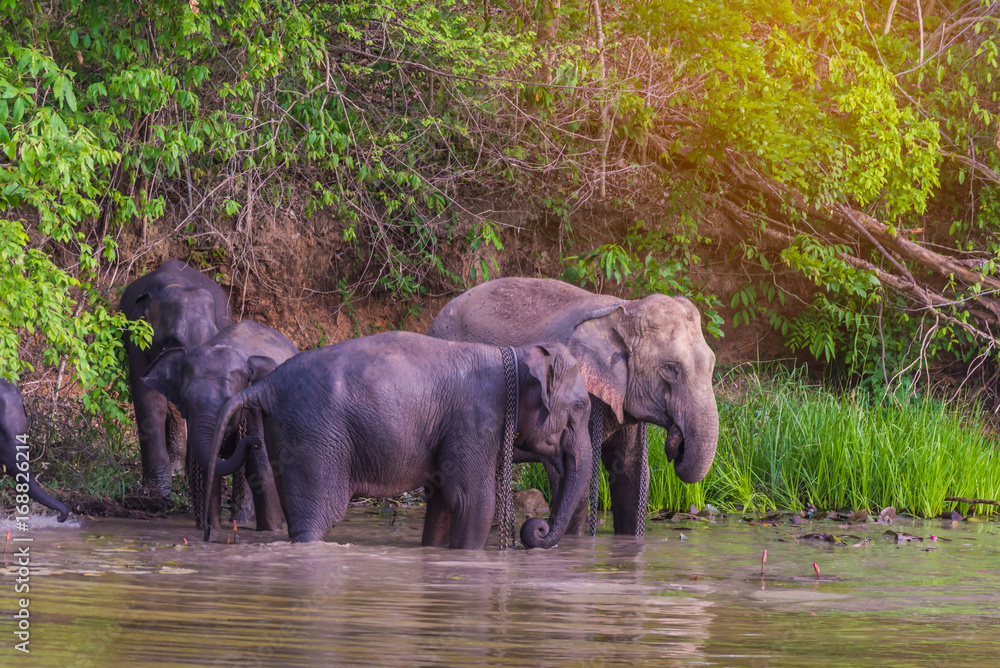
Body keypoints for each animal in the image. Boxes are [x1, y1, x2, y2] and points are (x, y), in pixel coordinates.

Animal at [141, 320, 297, 531]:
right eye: (186, 401)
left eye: (229, 402)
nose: (253, 442)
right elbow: (207, 468)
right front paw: (212, 529)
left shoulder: (257, 410)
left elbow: (262, 468)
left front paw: (271, 532)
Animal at [203, 331, 592, 549]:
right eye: (579, 408)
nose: (538, 528)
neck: (515, 352)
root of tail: (266, 385)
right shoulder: (475, 422)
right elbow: (473, 500)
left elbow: (443, 502)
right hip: (315, 438)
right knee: (319, 515)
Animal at [427, 277, 719, 537]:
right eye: (670, 369)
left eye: (712, 363)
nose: (676, 441)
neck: (623, 309)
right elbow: (570, 469)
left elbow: (632, 473)